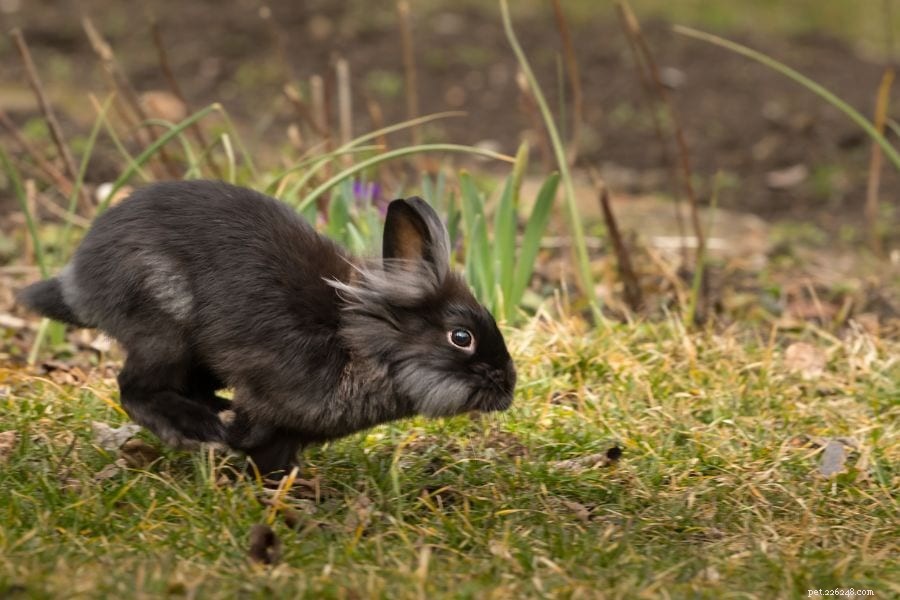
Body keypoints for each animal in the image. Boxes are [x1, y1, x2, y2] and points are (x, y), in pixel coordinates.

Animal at [18, 180, 516, 476]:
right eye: (461, 337)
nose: (509, 388)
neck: (361, 343)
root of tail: (78, 281)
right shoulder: (269, 403)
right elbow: (258, 442)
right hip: (162, 330)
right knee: (134, 388)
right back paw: (200, 429)